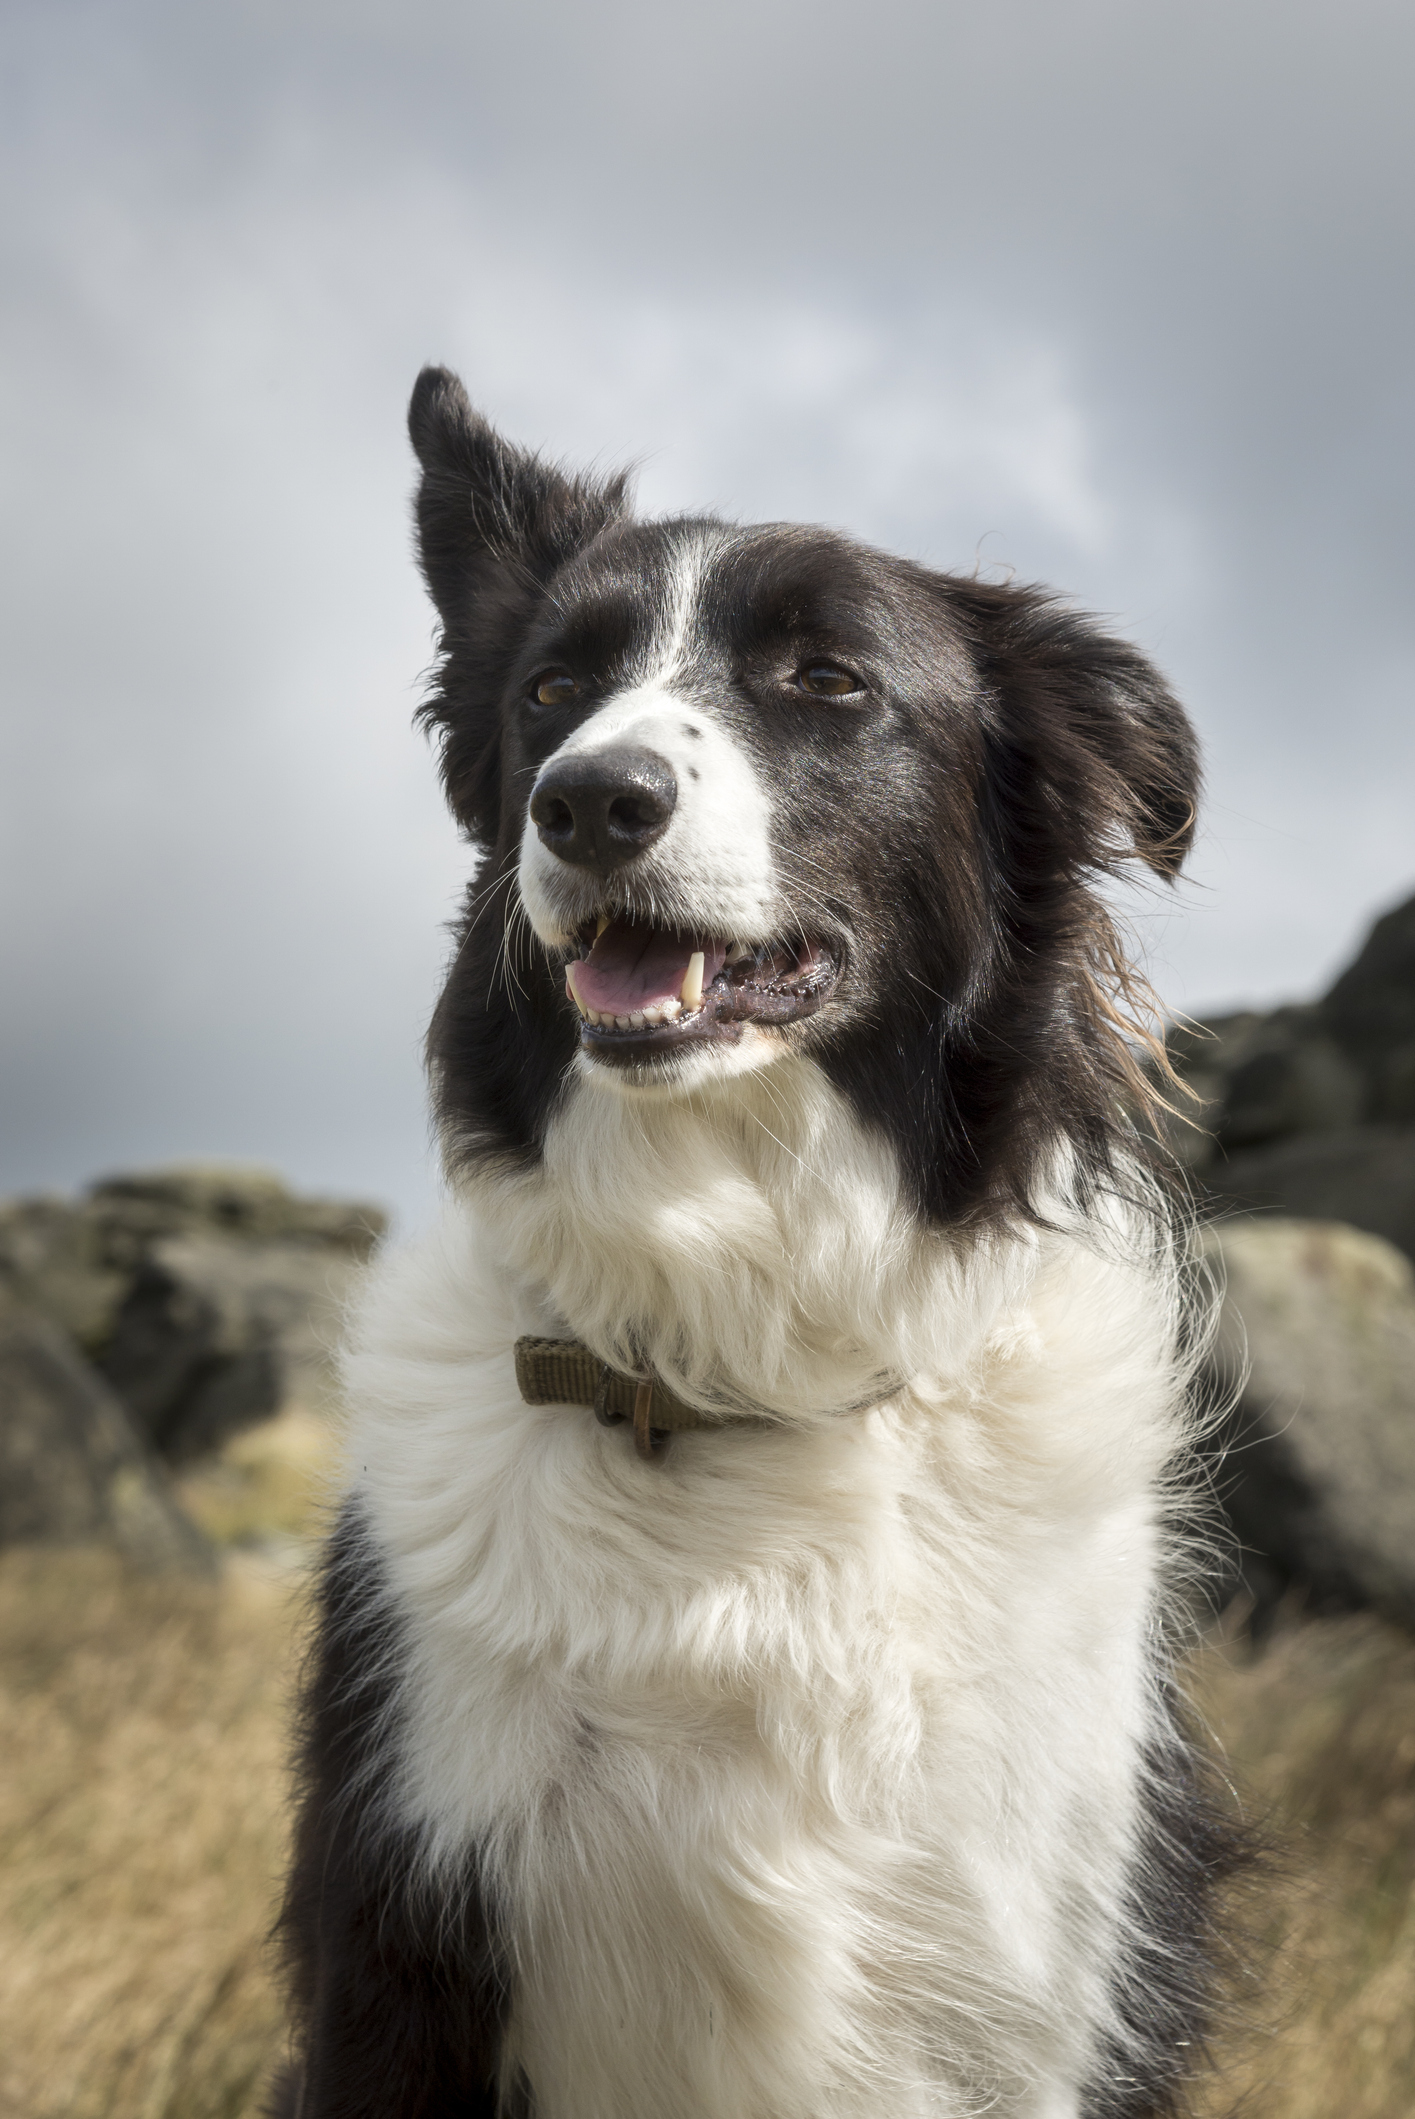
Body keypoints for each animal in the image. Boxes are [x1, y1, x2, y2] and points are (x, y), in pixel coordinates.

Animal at [273, 368, 1228, 2119]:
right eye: (553, 688)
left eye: (827, 682)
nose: (588, 798)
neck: (733, 1357)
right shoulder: (399, 1956)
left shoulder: (1039, 1986)